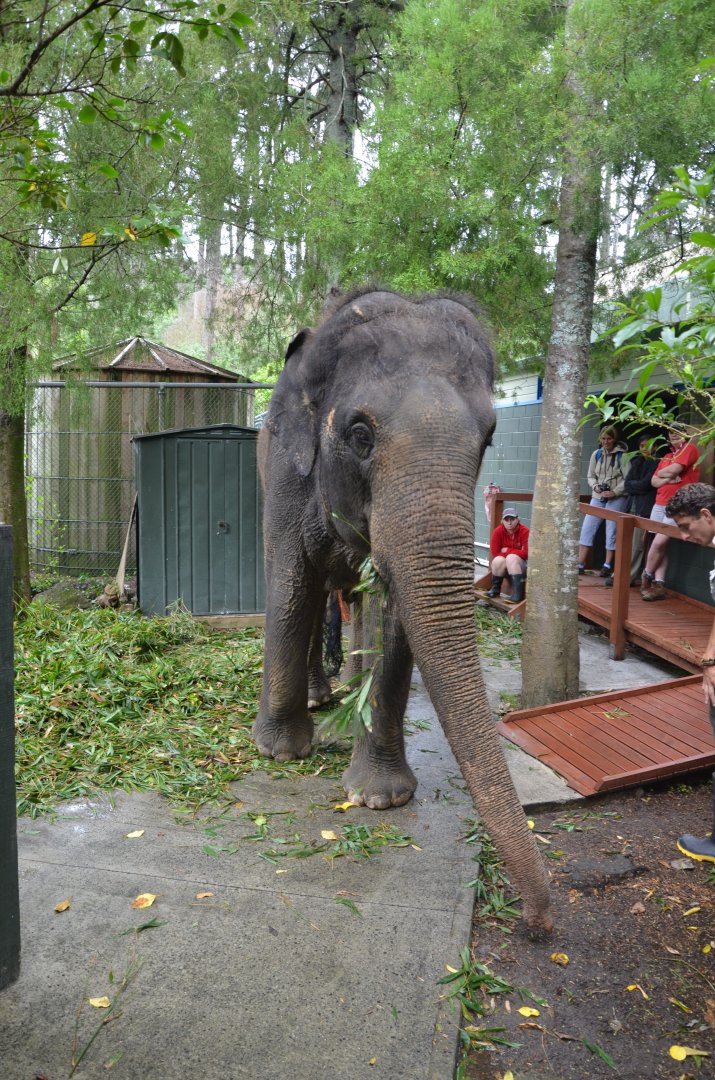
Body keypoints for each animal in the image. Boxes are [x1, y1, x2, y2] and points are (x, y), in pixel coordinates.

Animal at [254, 288, 552, 932]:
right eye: (360, 434)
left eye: (490, 438)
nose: (538, 922)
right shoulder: (285, 479)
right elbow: (290, 584)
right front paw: (280, 752)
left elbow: (395, 612)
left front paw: (379, 798)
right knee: (317, 594)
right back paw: (318, 700)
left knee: (352, 596)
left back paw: (345, 685)